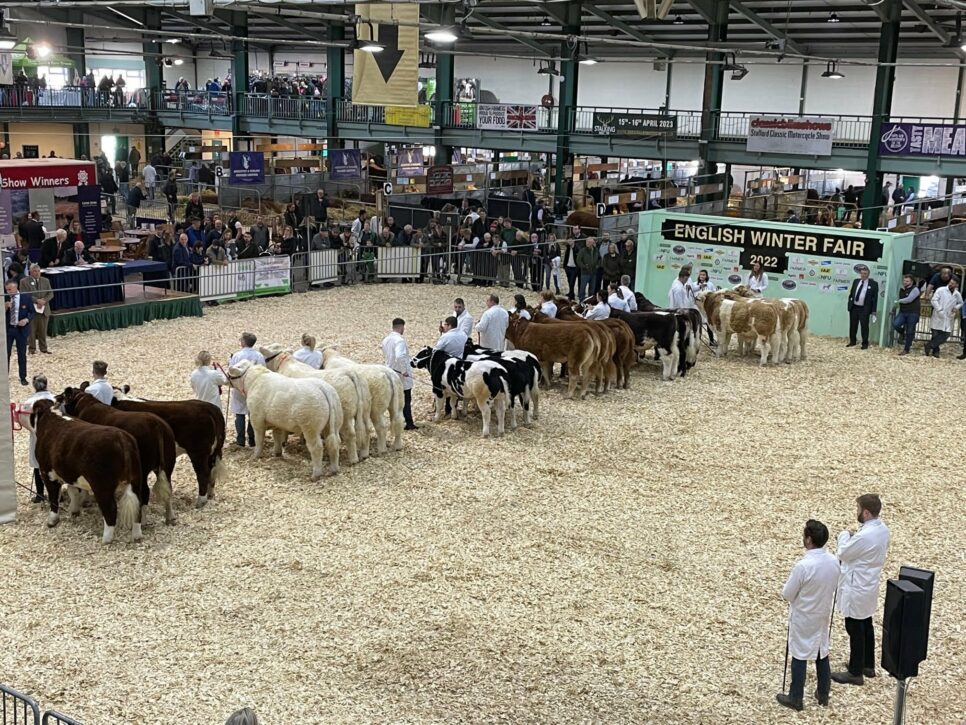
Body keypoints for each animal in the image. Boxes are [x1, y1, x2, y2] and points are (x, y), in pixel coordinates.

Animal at [31, 396, 144, 544]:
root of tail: (121, 438)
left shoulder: (47, 473)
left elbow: (54, 498)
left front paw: (52, 521)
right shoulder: (70, 474)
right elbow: (73, 491)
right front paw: (74, 510)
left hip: (102, 486)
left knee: (110, 510)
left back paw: (106, 539)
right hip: (136, 480)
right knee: (138, 506)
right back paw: (137, 535)